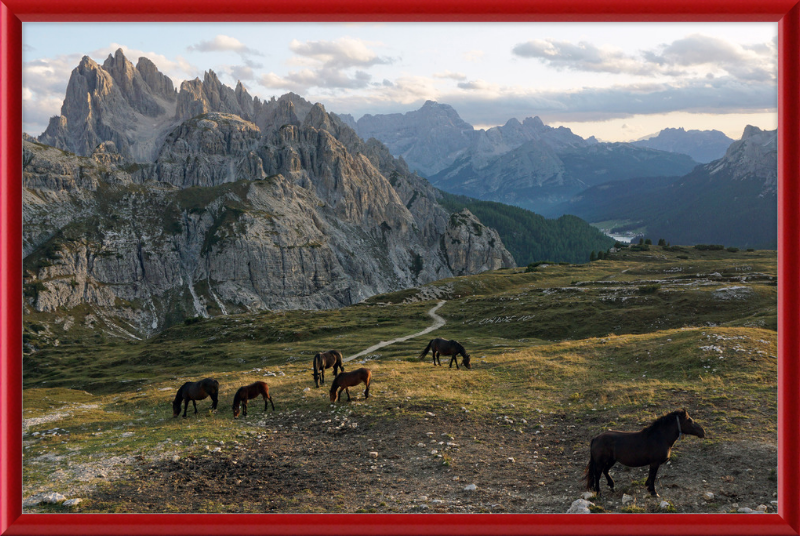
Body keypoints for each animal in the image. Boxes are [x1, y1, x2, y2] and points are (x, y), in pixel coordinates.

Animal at [580, 410, 708, 498]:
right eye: (690, 420)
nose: (703, 432)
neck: (659, 437)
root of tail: (596, 438)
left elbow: (650, 476)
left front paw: (648, 487)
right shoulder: (655, 463)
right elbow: (653, 476)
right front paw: (653, 492)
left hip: (611, 460)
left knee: (605, 471)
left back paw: (612, 486)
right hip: (601, 462)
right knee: (598, 474)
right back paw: (598, 492)